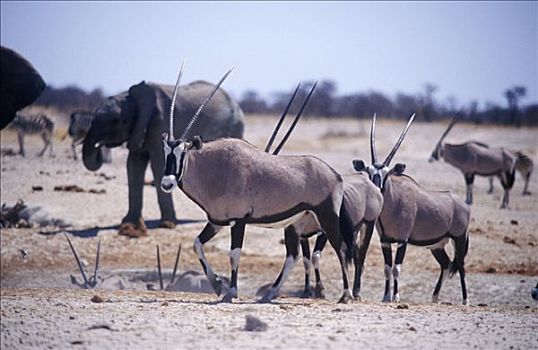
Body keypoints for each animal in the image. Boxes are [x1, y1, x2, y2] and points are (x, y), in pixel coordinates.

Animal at [82, 80, 244, 237]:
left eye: (116, 120)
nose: (100, 147)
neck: (131, 96)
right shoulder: (139, 129)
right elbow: (133, 164)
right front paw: (129, 226)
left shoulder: (160, 123)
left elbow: (159, 164)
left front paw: (167, 224)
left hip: (234, 128)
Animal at [159, 63, 352, 304]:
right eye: (165, 152)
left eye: (182, 152)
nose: (167, 183)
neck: (216, 167)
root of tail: (336, 175)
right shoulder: (216, 221)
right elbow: (197, 244)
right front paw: (217, 285)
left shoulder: (238, 220)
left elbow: (234, 254)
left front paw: (230, 291)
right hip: (296, 224)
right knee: (293, 256)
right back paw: (269, 293)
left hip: (326, 217)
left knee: (340, 248)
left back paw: (345, 295)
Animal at [352, 114, 468, 304]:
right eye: (369, 172)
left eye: (387, 174)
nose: (376, 189)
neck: (392, 204)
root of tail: (463, 205)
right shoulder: (385, 241)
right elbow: (387, 268)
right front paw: (386, 297)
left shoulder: (403, 240)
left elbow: (396, 268)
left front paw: (396, 297)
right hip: (437, 245)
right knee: (446, 264)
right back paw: (435, 297)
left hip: (459, 239)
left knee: (461, 265)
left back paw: (465, 301)